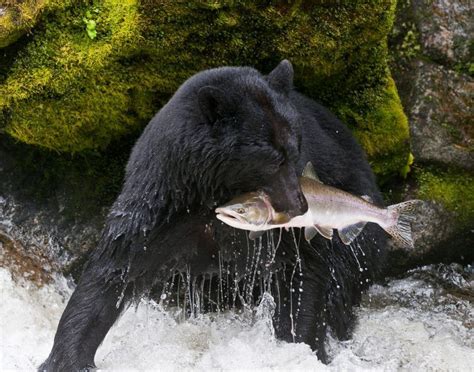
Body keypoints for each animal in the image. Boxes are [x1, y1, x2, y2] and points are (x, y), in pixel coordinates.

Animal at [40, 60, 386, 370]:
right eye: (272, 158)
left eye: (295, 149)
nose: (299, 206)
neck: (216, 188)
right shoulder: (165, 203)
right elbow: (113, 270)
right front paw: (65, 358)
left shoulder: (283, 234)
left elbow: (305, 275)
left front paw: (295, 347)